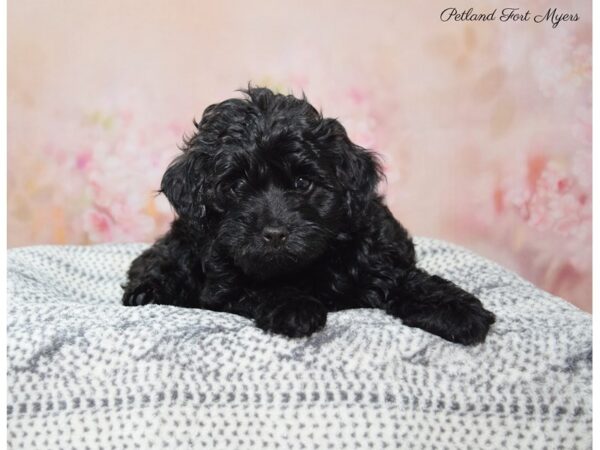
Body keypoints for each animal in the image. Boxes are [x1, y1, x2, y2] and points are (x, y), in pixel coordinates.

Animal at [119, 86, 494, 342]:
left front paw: (457, 310)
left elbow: (410, 280)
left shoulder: (379, 255)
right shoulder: (225, 281)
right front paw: (294, 307)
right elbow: (262, 286)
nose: (274, 234)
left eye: (302, 183)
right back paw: (147, 290)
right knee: (156, 259)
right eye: (235, 187)